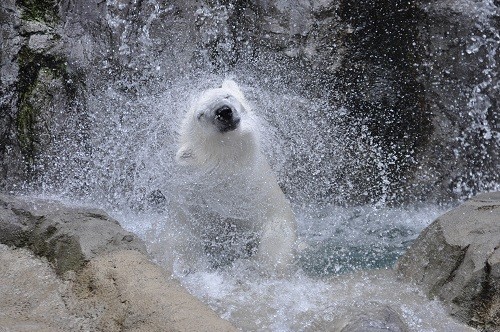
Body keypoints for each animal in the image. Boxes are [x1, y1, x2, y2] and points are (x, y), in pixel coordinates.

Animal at [174, 80, 294, 274]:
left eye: (227, 96)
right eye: (200, 115)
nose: (224, 111)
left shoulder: (261, 190)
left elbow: (278, 225)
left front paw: (261, 266)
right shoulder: (193, 202)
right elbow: (183, 235)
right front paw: (188, 266)